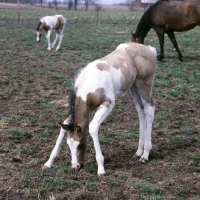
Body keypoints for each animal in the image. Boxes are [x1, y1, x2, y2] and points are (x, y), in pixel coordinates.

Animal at [43, 42, 157, 175]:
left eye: (80, 144)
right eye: (69, 145)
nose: (76, 166)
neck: (89, 84)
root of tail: (150, 49)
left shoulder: (108, 103)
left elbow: (93, 127)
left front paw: (101, 169)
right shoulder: (89, 108)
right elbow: (65, 123)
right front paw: (48, 163)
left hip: (144, 84)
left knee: (149, 110)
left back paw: (145, 155)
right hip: (133, 87)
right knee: (140, 111)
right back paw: (138, 152)